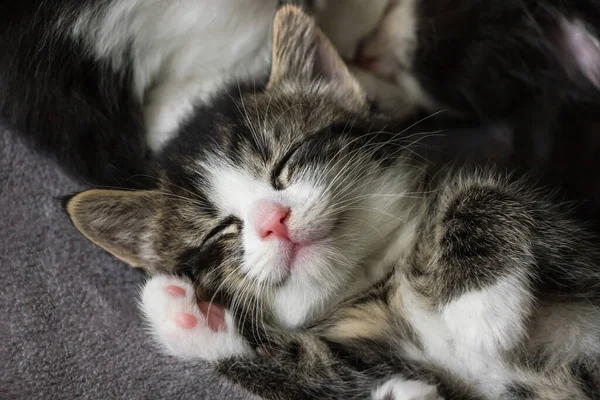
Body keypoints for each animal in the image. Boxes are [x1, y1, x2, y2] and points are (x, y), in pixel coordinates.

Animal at [67, 6, 600, 400]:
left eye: (285, 162)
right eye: (221, 229)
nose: (273, 221)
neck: (381, 278)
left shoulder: (579, 246)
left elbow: (482, 193)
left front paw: (480, 307)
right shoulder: (374, 353)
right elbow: (325, 373)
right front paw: (191, 318)